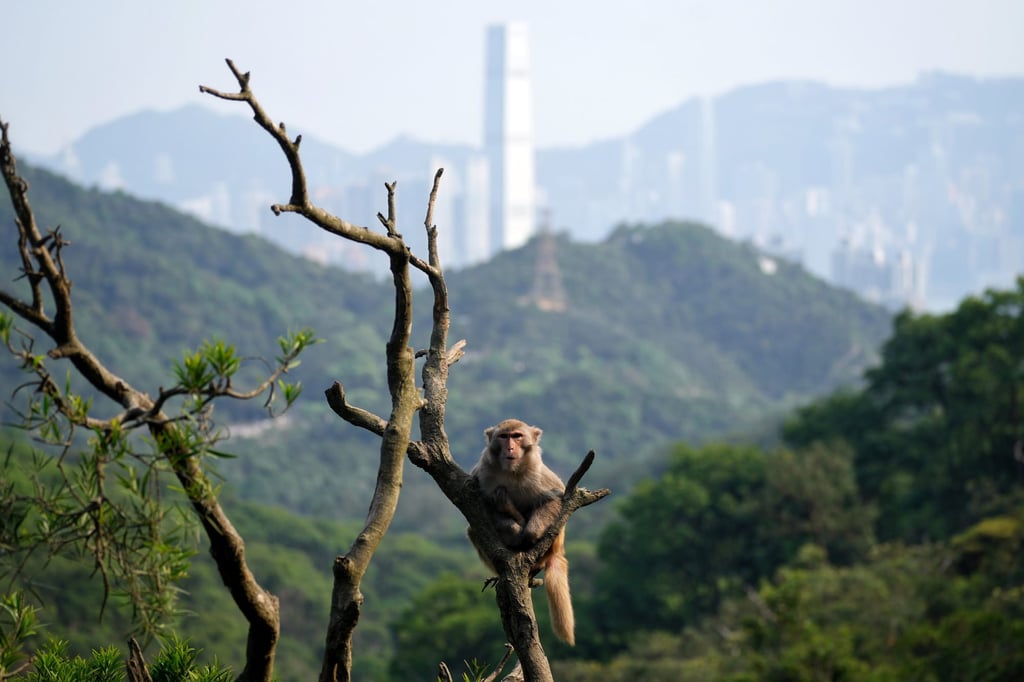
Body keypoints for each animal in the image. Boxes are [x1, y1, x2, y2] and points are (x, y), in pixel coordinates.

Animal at [468, 417, 573, 647]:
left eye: (517, 436)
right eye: (503, 436)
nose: (510, 447)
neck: (511, 471)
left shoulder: (538, 473)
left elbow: (556, 497)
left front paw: (528, 532)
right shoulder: (482, 475)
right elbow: (480, 509)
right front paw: (512, 527)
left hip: (555, 543)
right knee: (473, 530)